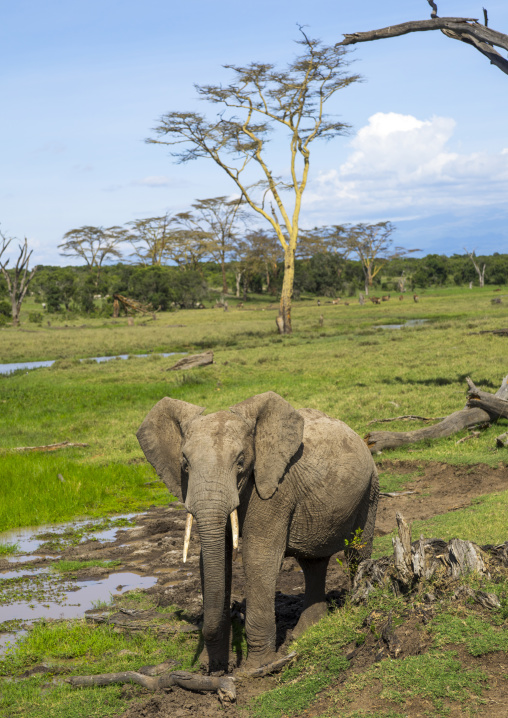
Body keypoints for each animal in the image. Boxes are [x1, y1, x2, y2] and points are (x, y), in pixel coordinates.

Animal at [137, 391, 378, 671]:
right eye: (185, 464)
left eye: (241, 462)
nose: (220, 666)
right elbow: (214, 561)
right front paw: (215, 666)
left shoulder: (274, 489)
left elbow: (258, 557)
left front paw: (256, 668)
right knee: (313, 562)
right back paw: (305, 632)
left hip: (370, 489)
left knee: (357, 552)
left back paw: (353, 607)